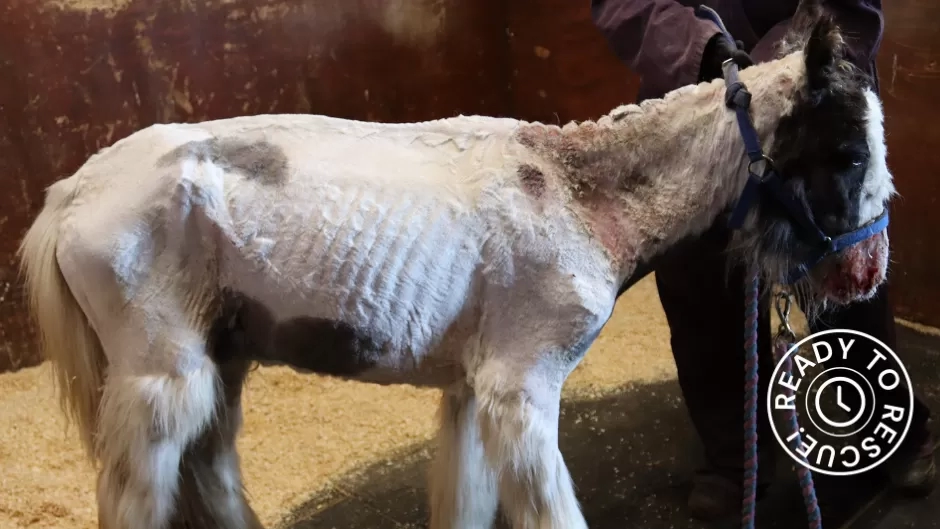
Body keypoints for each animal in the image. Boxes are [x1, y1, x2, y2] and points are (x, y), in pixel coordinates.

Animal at [18, 13, 893, 529]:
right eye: (848, 151)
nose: (866, 272)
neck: (580, 193)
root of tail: (74, 192)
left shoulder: (474, 389)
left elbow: (466, 498)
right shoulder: (520, 388)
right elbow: (547, 506)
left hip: (220, 359)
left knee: (210, 467)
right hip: (160, 375)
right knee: (137, 491)